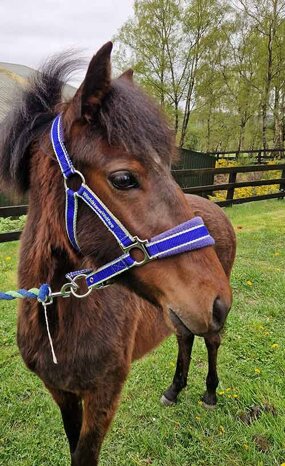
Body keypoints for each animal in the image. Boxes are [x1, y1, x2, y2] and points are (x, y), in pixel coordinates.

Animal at [0, 41, 233, 464]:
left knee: (211, 342)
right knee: (185, 338)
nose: (218, 301)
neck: (58, 320)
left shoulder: (104, 398)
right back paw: (175, 389)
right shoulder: (63, 394)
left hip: (205, 327)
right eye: (124, 178)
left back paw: (209, 392)